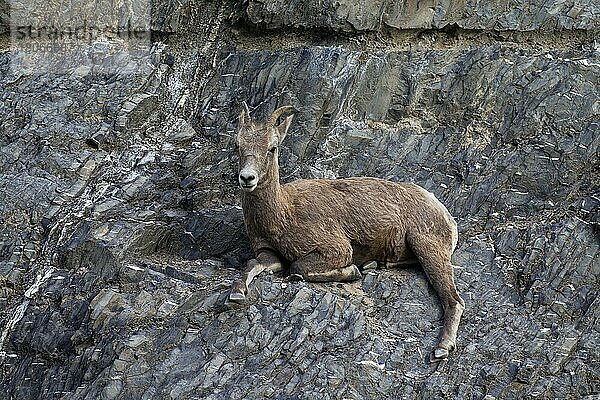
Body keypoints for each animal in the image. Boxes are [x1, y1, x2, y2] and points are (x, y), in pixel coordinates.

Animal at [227, 103, 466, 360]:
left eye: (272, 148)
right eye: (238, 145)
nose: (247, 178)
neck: (283, 213)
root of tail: (443, 211)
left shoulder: (336, 248)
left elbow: (297, 268)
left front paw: (351, 271)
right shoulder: (267, 252)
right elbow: (252, 264)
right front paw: (236, 293)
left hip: (426, 245)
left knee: (454, 300)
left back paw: (442, 348)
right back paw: (375, 263)